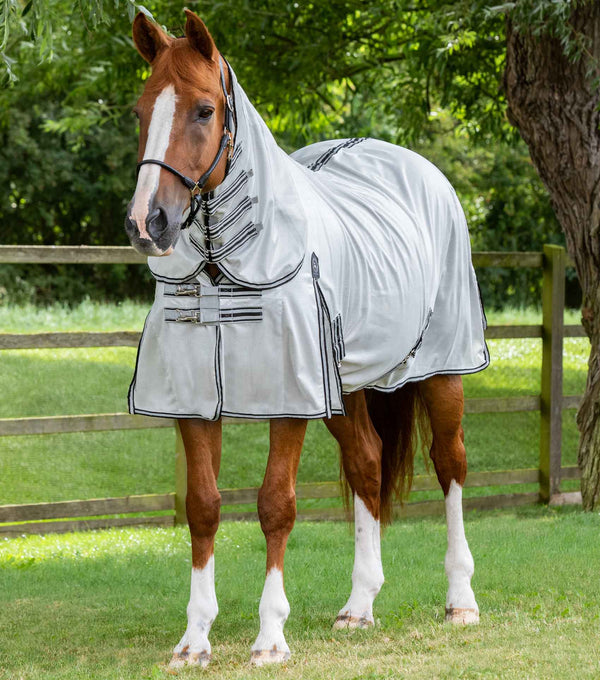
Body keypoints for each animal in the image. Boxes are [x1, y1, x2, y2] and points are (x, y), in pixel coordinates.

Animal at [124, 10, 489, 668]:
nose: (147, 223)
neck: (222, 268)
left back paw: (461, 601)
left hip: (444, 369)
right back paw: (359, 606)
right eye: (141, 112)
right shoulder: (191, 400)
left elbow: (276, 504)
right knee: (368, 463)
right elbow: (203, 507)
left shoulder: (288, 396)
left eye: (203, 110)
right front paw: (194, 640)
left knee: (450, 465)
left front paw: (270, 637)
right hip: (346, 386)